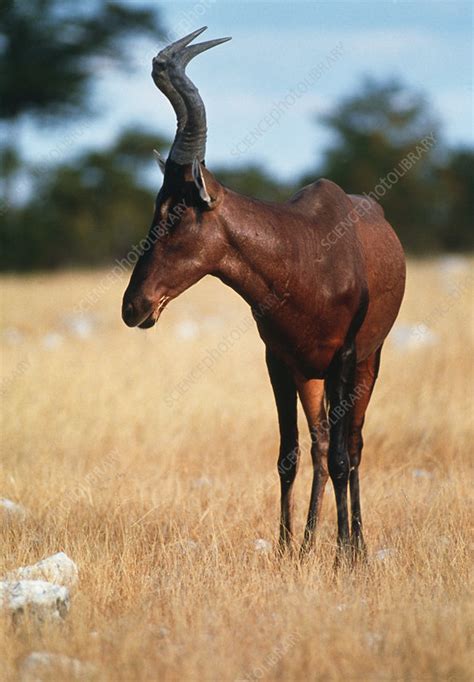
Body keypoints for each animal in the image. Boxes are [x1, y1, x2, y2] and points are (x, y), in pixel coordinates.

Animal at [121, 27, 404, 556]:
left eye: (177, 211)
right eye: (155, 204)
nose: (134, 307)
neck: (307, 246)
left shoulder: (345, 357)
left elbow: (342, 456)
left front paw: (344, 557)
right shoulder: (277, 360)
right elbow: (288, 455)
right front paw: (287, 549)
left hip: (368, 362)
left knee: (352, 446)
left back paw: (354, 544)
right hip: (308, 373)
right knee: (318, 442)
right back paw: (312, 541)